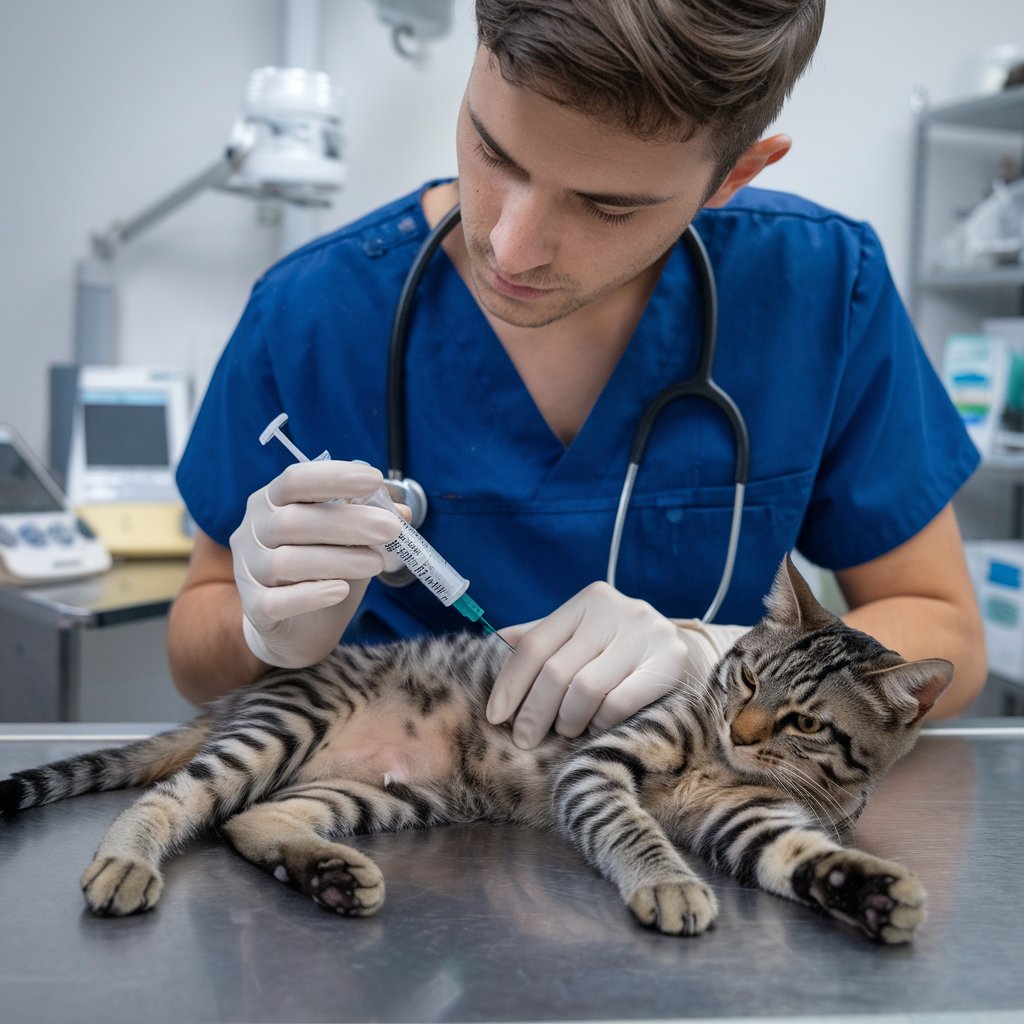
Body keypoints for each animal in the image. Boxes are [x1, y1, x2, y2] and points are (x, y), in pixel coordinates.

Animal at [0, 561, 950, 942]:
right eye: (744, 677)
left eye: (805, 724)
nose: (740, 730)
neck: (721, 762)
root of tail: (250, 691)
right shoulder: (598, 767)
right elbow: (635, 832)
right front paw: (670, 883)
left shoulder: (754, 818)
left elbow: (802, 855)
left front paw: (867, 890)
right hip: (280, 731)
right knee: (175, 799)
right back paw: (126, 862)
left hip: (383, 794)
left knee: (254, 821)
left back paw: (327, 872)